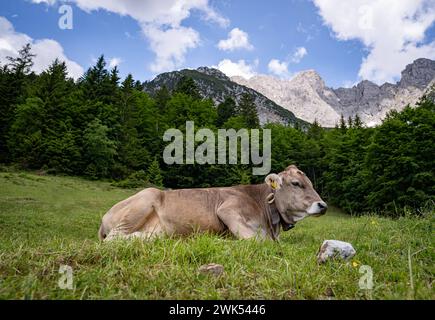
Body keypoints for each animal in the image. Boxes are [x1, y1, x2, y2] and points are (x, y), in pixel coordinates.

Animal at [99, 165, 328, 240]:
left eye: (311, 183)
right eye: (297, 184)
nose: (323, 205)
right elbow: (257, 241)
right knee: (112, 238)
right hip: (147, 197)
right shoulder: (227, 209)